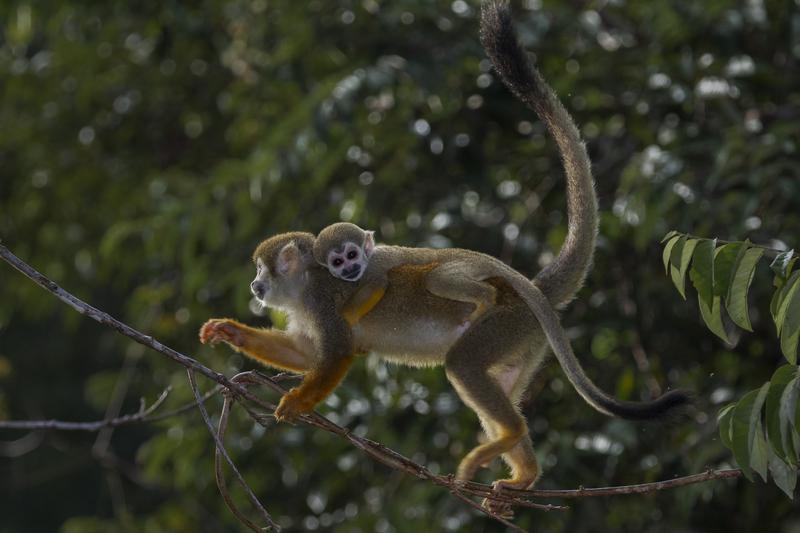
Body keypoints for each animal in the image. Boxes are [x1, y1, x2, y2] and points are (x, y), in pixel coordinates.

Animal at [310, 220, 494, 324]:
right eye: (338, 262)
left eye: (351, 255)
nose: (349, 268)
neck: (368, 259)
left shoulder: (375, 265)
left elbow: (378, 283)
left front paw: (345, 316)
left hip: (469, 264)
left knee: (436, 279)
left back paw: (486, 297)